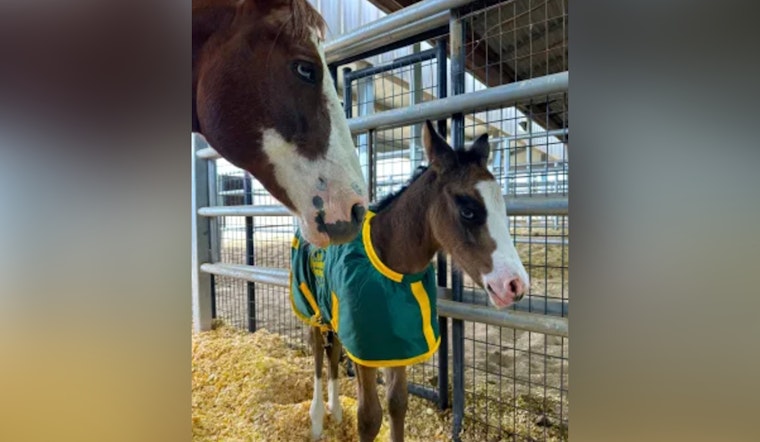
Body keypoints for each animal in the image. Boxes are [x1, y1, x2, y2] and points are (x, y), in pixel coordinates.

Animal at [289, 120, 530, 441]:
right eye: (467, 209)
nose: (516, 285)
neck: (393, 267)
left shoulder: (396, 342)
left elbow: (397, 404)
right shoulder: (366, 348)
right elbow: (369, 418)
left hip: (334, 311)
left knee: (334, 351)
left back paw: (336, 411)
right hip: (311, 307)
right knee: (317, 352)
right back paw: (317, 420)